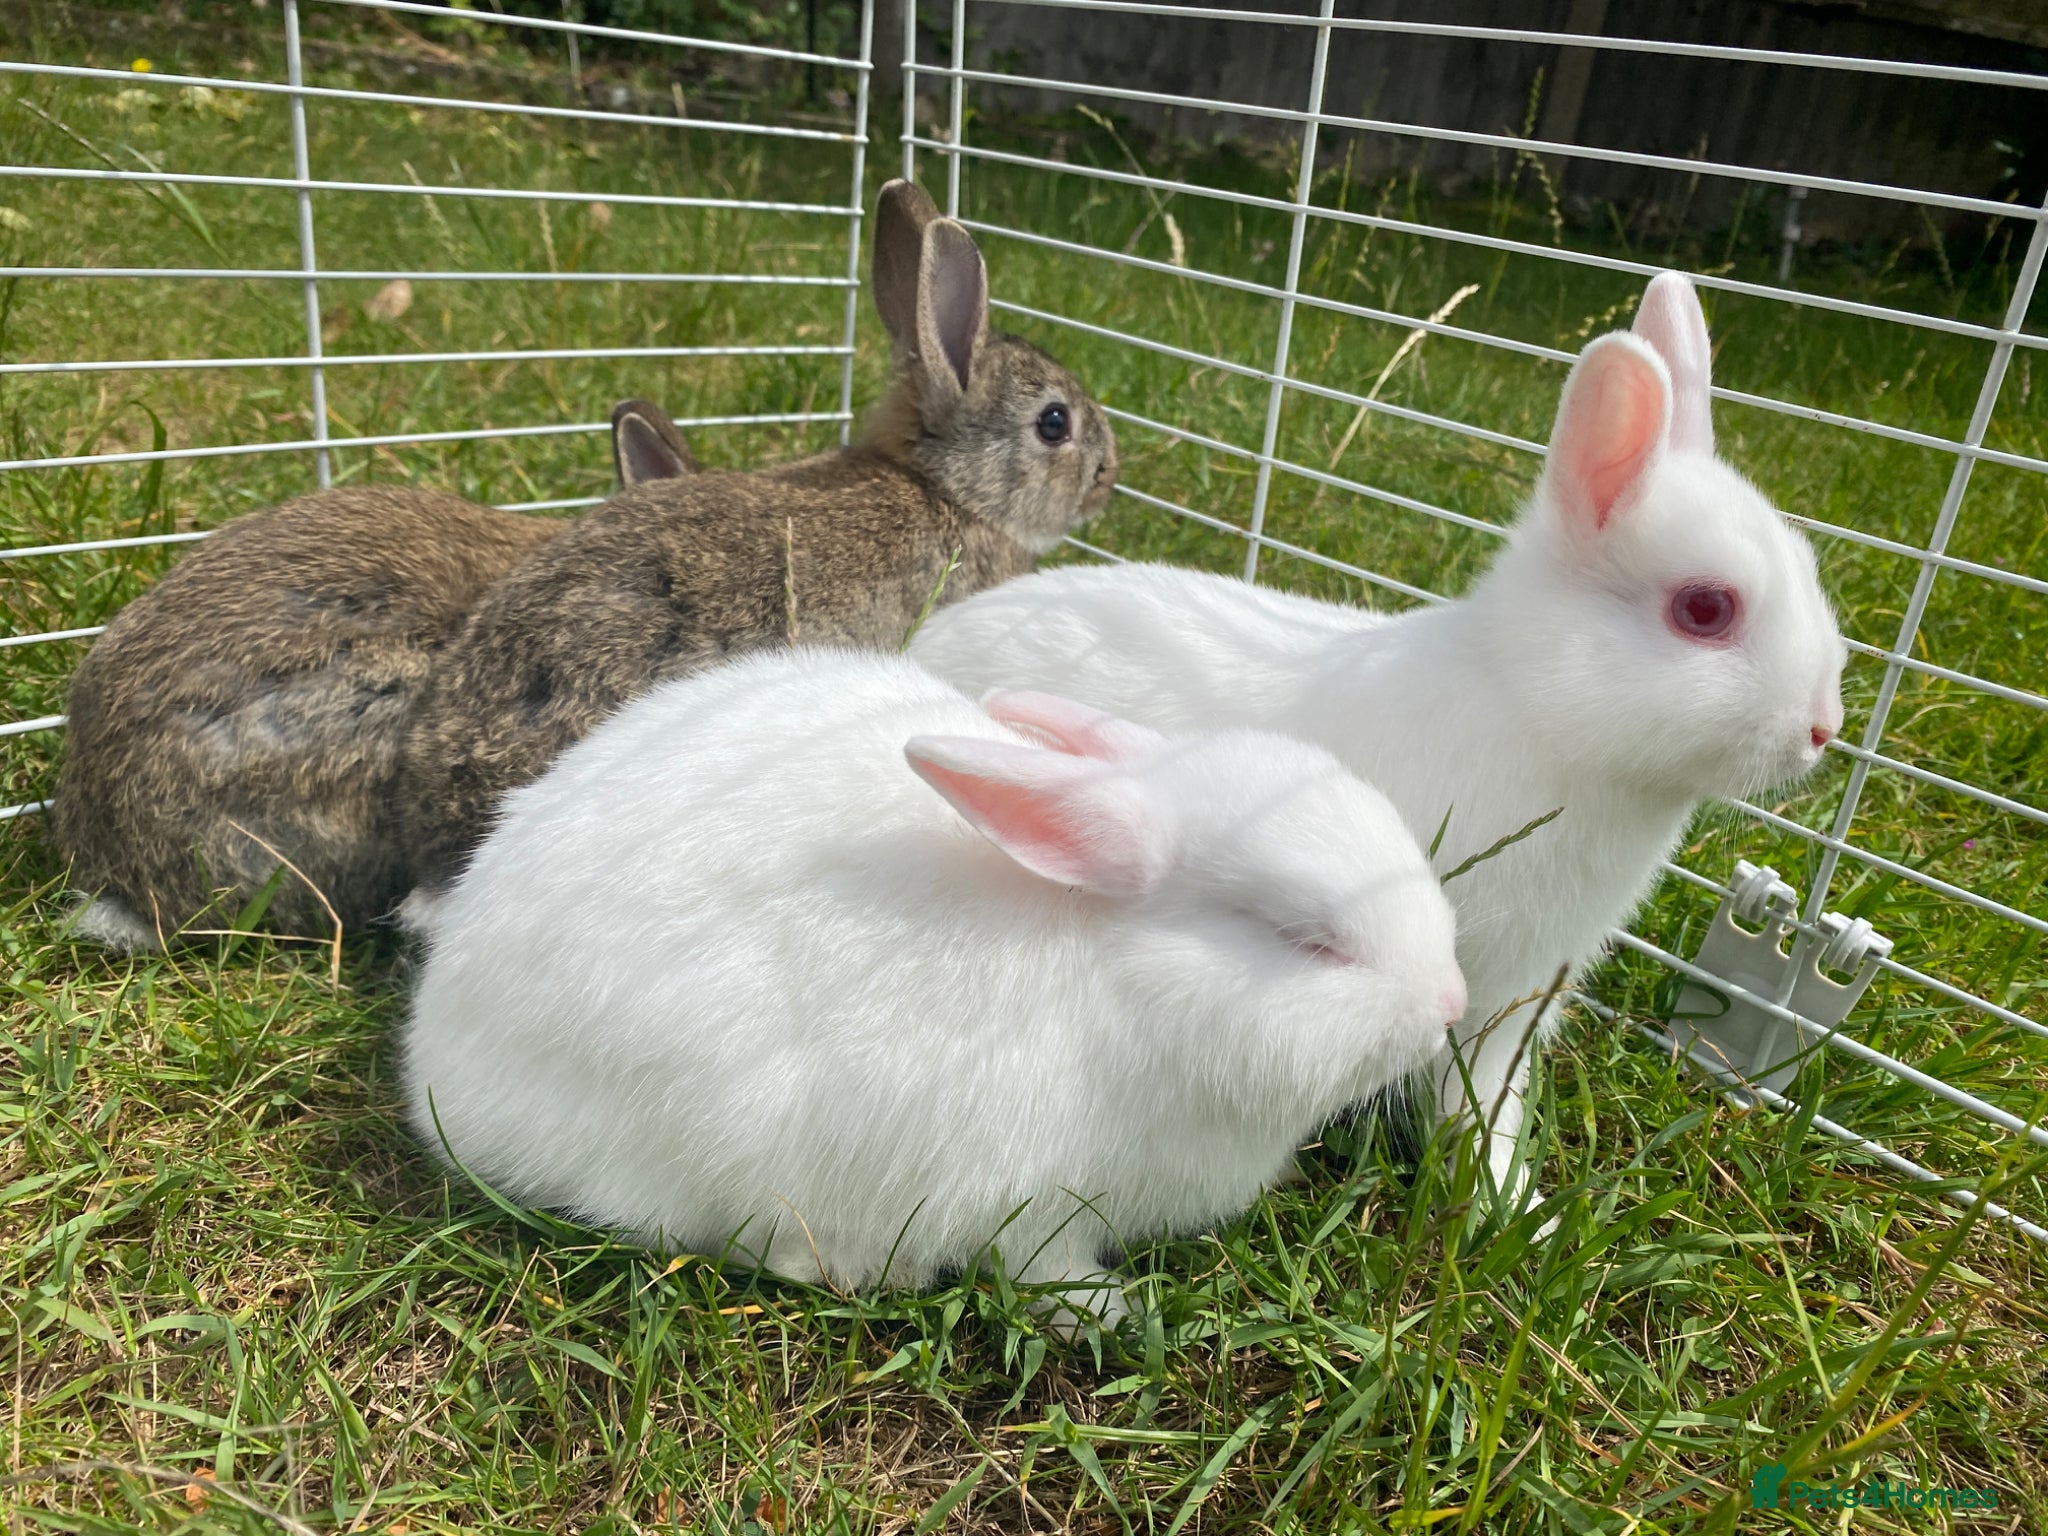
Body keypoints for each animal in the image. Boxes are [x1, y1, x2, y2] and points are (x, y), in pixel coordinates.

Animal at [401, 648, 1463, 1326]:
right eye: (1306, 941)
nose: (1450, 1005)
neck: (1116, 975)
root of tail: (434, 1054)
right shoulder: (1028, 1196)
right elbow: (1045, 1271)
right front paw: (1111, 1315)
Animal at [907, 272, 1849, 1210]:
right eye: (1705, 609)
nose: (1823, 729)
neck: (1531, 710)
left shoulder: (1515, 997)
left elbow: (1493, 1094)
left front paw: (1513, 1200)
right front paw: (1498, 1197)